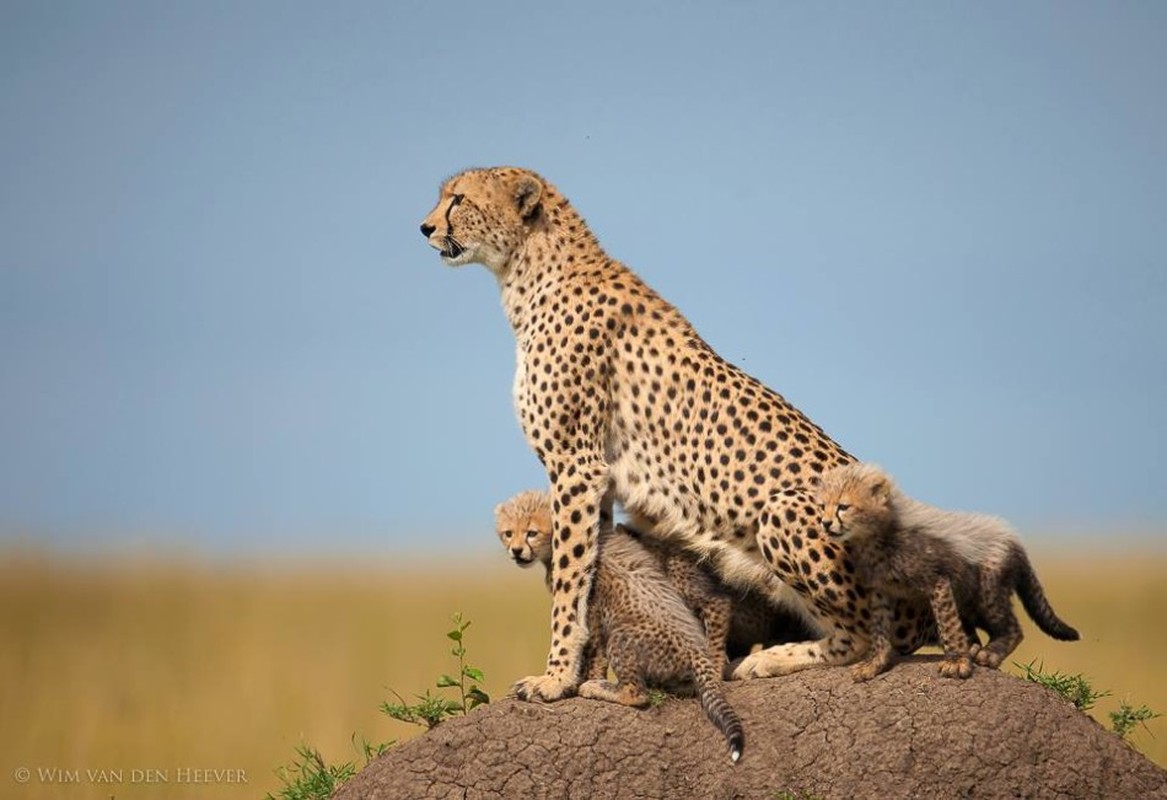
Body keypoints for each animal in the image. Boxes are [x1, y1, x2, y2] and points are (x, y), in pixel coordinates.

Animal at [420, 167, 928, 699]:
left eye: (458, 200)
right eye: (444, 197)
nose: (424, 227)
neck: (528, 270)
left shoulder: (575, 465)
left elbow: (568, 579)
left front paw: (554, 678)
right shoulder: (597, 478)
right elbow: (591, 571)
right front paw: (583, 674)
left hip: (782, 512)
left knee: (863, 638)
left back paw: (767, 659)